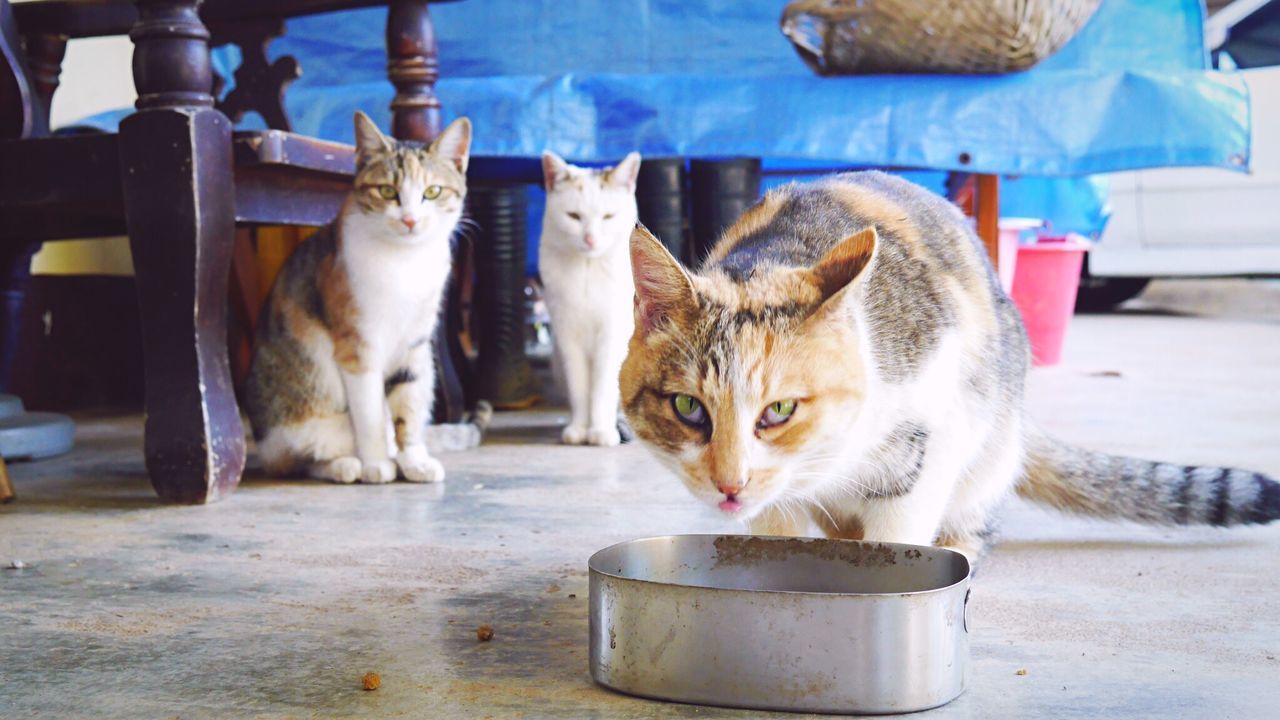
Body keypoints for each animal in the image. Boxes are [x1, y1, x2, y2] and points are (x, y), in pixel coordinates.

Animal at [243, 110, 471, 481]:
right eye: (388, 191)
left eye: (433, 191)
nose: (410, 220)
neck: (406, 262)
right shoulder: (357, 346)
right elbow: (369, 414)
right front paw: (377, 464)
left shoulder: (414, 344)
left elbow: (407, 403)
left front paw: (414, 461)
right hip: (302, 425)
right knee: (300, 459)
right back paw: (346, 466)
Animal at [537, 149, 640, 443]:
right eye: (573, 216)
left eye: (608, 216)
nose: (590, 239)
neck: (587, 270)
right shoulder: (567, 335)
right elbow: (580, 388)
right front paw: (579, 429)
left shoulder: (611, 335)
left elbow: (602, 387)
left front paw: (600, 431)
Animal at [616, 170, 1269, 558]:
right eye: (687, 407)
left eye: (779, 410)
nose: (731, 484)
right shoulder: (779, 504)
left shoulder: (931, 439)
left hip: (985, 448)